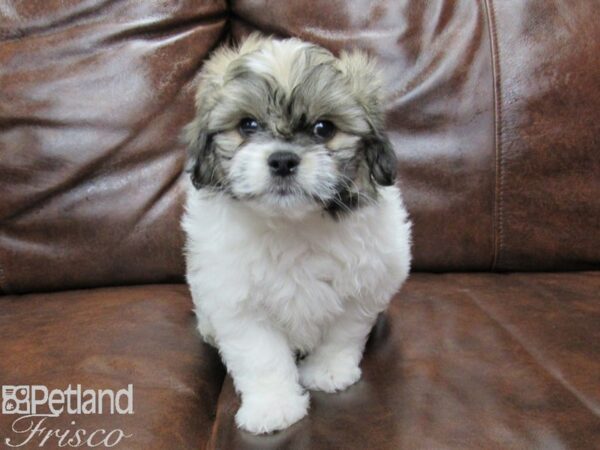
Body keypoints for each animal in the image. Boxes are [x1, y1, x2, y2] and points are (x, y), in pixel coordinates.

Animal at [180, 35, 410, 436]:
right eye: (248, 125)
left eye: (323, 129)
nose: (283, 160)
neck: (292, 224)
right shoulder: (236, 299)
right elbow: (261, 355)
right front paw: (273, 405)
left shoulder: (366, 284)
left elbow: (343, 332)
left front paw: (328, 371)